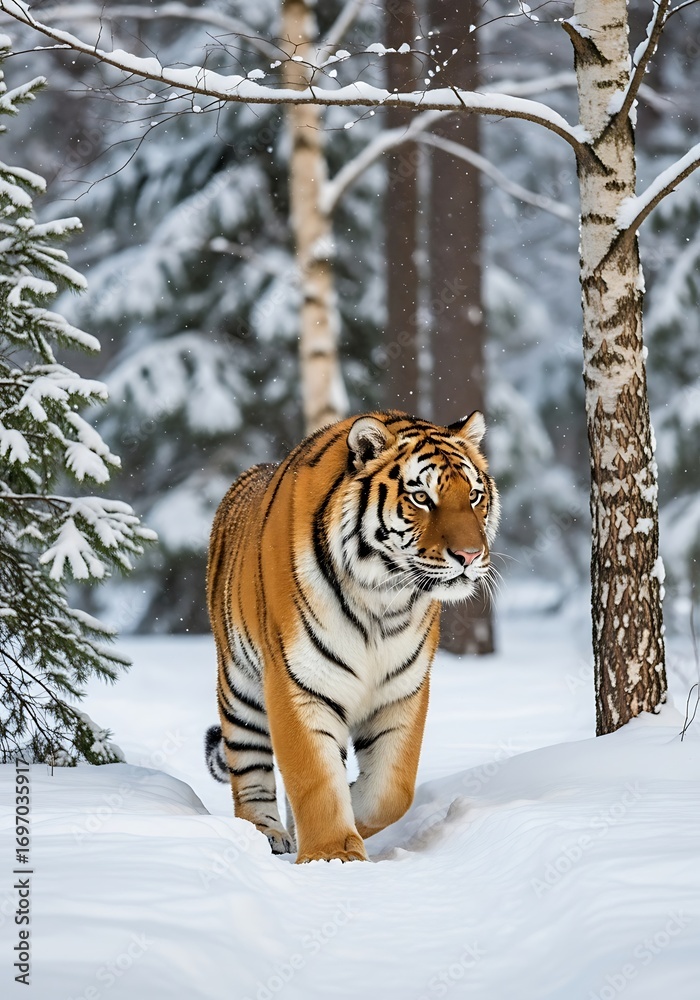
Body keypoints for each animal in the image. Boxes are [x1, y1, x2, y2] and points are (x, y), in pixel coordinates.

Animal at [204, 409, 500, 863]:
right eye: (421, 498)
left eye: (473, 496)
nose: (470, 556)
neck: (383, 600)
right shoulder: (297, 682)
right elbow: (314, 777)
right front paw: (332, 855)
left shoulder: (403, 690)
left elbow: (392, 790)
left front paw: (351, 816)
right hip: (239, 690)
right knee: (248, 769)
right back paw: (267, 834)